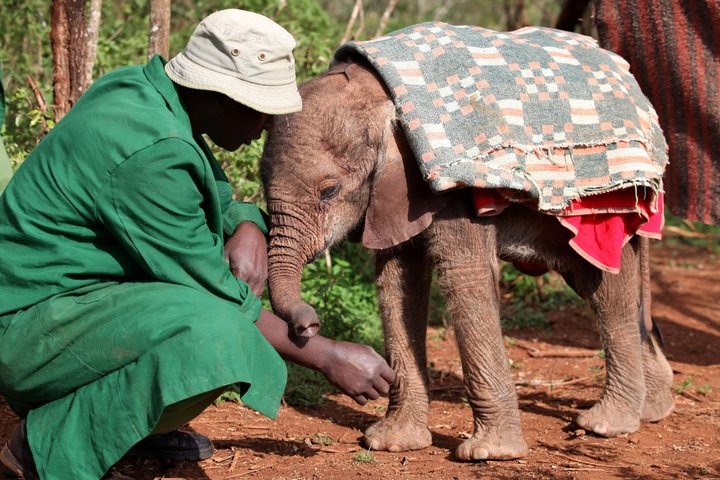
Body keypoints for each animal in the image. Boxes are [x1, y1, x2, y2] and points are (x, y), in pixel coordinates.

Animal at [260, 27, 676, 462]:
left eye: (329, 190)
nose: (308, 324)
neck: (376, 93)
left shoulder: (451, 188)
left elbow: (465, 276)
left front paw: (489, 454)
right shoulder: (395, 195)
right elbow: (399, 283)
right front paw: (391, 442)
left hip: (605, 209)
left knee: (607, 292)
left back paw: (605, 425)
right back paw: (653, 410)